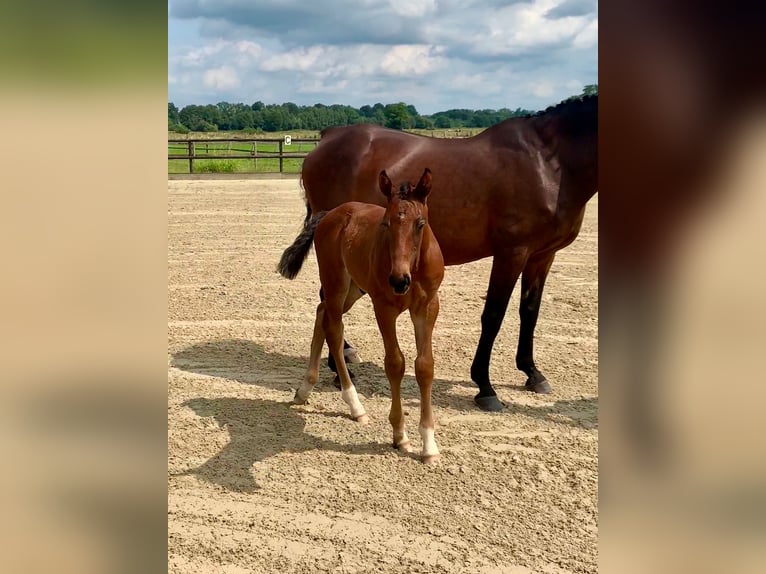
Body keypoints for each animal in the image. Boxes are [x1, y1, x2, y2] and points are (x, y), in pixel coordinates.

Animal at [282, 169, 448, 466]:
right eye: (386, 223)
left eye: (420, 223)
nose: (399, 281)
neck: (413, 270)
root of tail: (331, 213)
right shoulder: (383, 307)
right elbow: (395, 363)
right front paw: (400, 435)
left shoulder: (428, 306)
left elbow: (424, 366)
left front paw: (429, 445)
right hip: (336, 283)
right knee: (334, 330)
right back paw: (355, 405)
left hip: (354, 289)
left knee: (321, 312)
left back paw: (304, 389)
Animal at [292, 94, 596, 412]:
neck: (548, 163)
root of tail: (329, 136)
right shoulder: (511, 253)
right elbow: (494, 315)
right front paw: (485, 386)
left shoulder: (542, 256)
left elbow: (530, 311)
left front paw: (532, 373)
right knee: (330, 305)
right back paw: (340, 371)